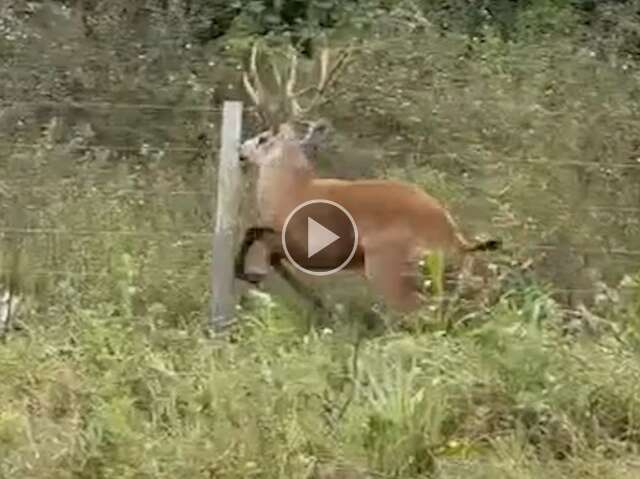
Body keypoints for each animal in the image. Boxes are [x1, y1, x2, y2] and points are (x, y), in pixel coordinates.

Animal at [232, 40, 502, 316]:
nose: (241, 150)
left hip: (388, 267)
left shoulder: (309, 245)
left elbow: (261, 243)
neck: (291, 192)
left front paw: (252, 275)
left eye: (263, 138)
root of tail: (454, 238)